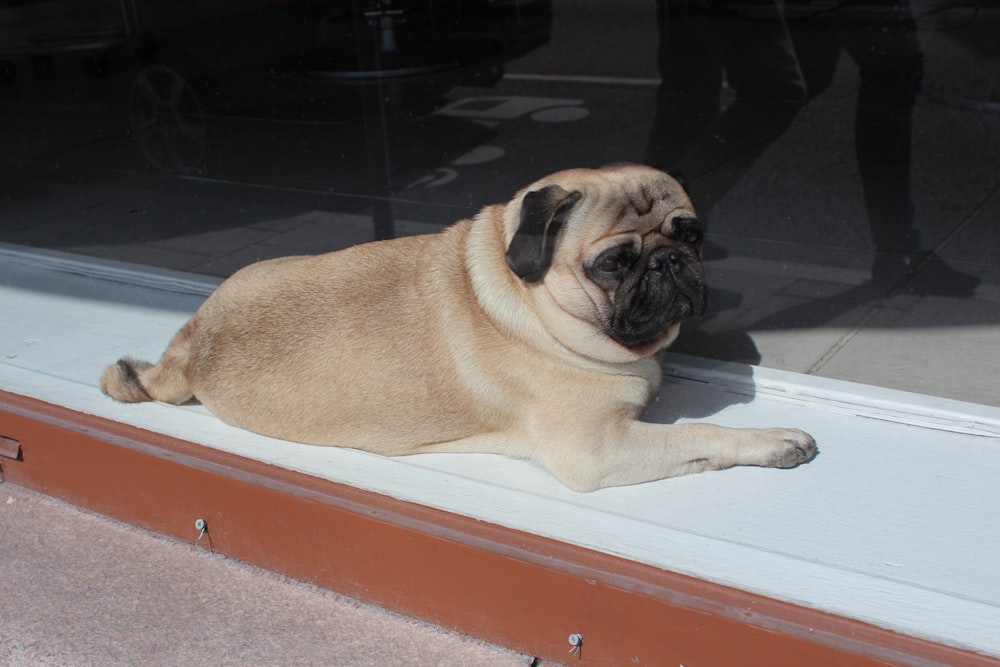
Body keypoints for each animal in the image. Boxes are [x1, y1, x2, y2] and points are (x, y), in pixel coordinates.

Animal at [101, 164, 816, 494]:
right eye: (614, 264)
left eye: (691, 235)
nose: (672, 262)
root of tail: (191, 346)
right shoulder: (598, 451)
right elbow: (700, 433)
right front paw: (774, 440)